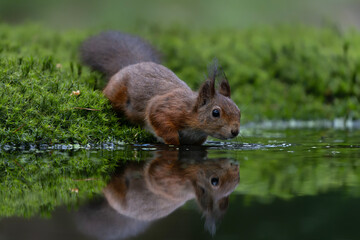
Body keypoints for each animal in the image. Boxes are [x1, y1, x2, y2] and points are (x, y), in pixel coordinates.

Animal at [80, 31, 240, 144]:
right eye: (215, 113)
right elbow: (158, 118)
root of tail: (131, 64)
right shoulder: (167, 107)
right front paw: (171, 139)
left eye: (239, 111)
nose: (235, 131)